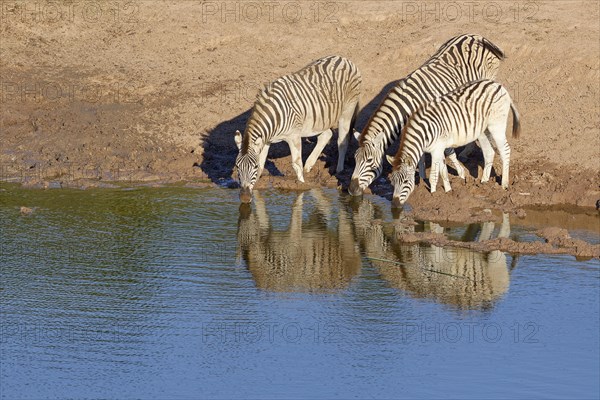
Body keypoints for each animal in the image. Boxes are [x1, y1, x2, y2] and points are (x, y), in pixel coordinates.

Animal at [233, 55, 360, 203]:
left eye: (252, 167)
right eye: (237, 167)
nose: (244, 198)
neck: (274, 116)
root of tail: (343, 58)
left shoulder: (293, 136)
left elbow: (296, 163)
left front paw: (302, 185)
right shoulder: (266, 140)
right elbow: (262, 163)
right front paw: (257, 187)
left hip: (348, 109)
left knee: (342, 140)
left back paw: (339, 170)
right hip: (321, 118)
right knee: (326, 135)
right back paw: (309, 166)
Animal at [346, 33, 506, 196]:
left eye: (370, 161)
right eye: (355, 159)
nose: (351, 191)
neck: (408, 104)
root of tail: (476, 36)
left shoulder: (437, 120)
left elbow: (447, 151)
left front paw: (459, 173)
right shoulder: (419, 125)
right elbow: (421, 152)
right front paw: (422, 176)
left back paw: (468, 152)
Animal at [390, 79, 520, 208]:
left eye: (406, 181)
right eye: (392, 181)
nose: (395, 204)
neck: (424, 134)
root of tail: (497, 84)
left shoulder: (436, 150)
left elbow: (434, 176)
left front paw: (433, 195)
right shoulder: (439, 149)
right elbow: (443, 171)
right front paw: (448, 191)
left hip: (497, 125)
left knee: (505, 150)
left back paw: (504, 184)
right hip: (483, 130)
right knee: (489, 152)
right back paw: (484, 181)